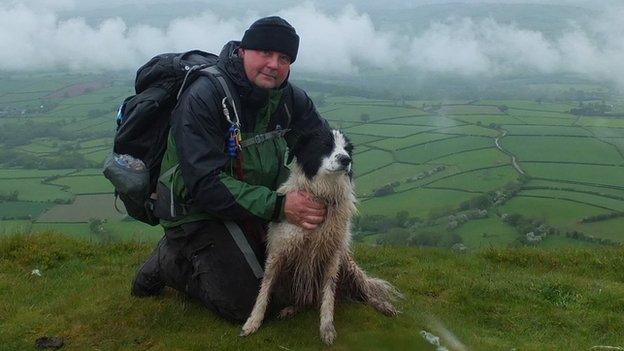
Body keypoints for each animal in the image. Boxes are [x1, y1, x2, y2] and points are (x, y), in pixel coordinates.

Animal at [240, 129, 400, 344]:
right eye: (325, 145)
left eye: (347, 148)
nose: (346, 159)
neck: (322, 194)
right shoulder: (278, 253)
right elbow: (264, 289)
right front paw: (253, 322)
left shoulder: (333, 255)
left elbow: (328, 295)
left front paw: (327, 328)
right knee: (304, 297)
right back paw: (291, 309)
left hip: (348, 266)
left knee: (364, 292)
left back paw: (383, 306)